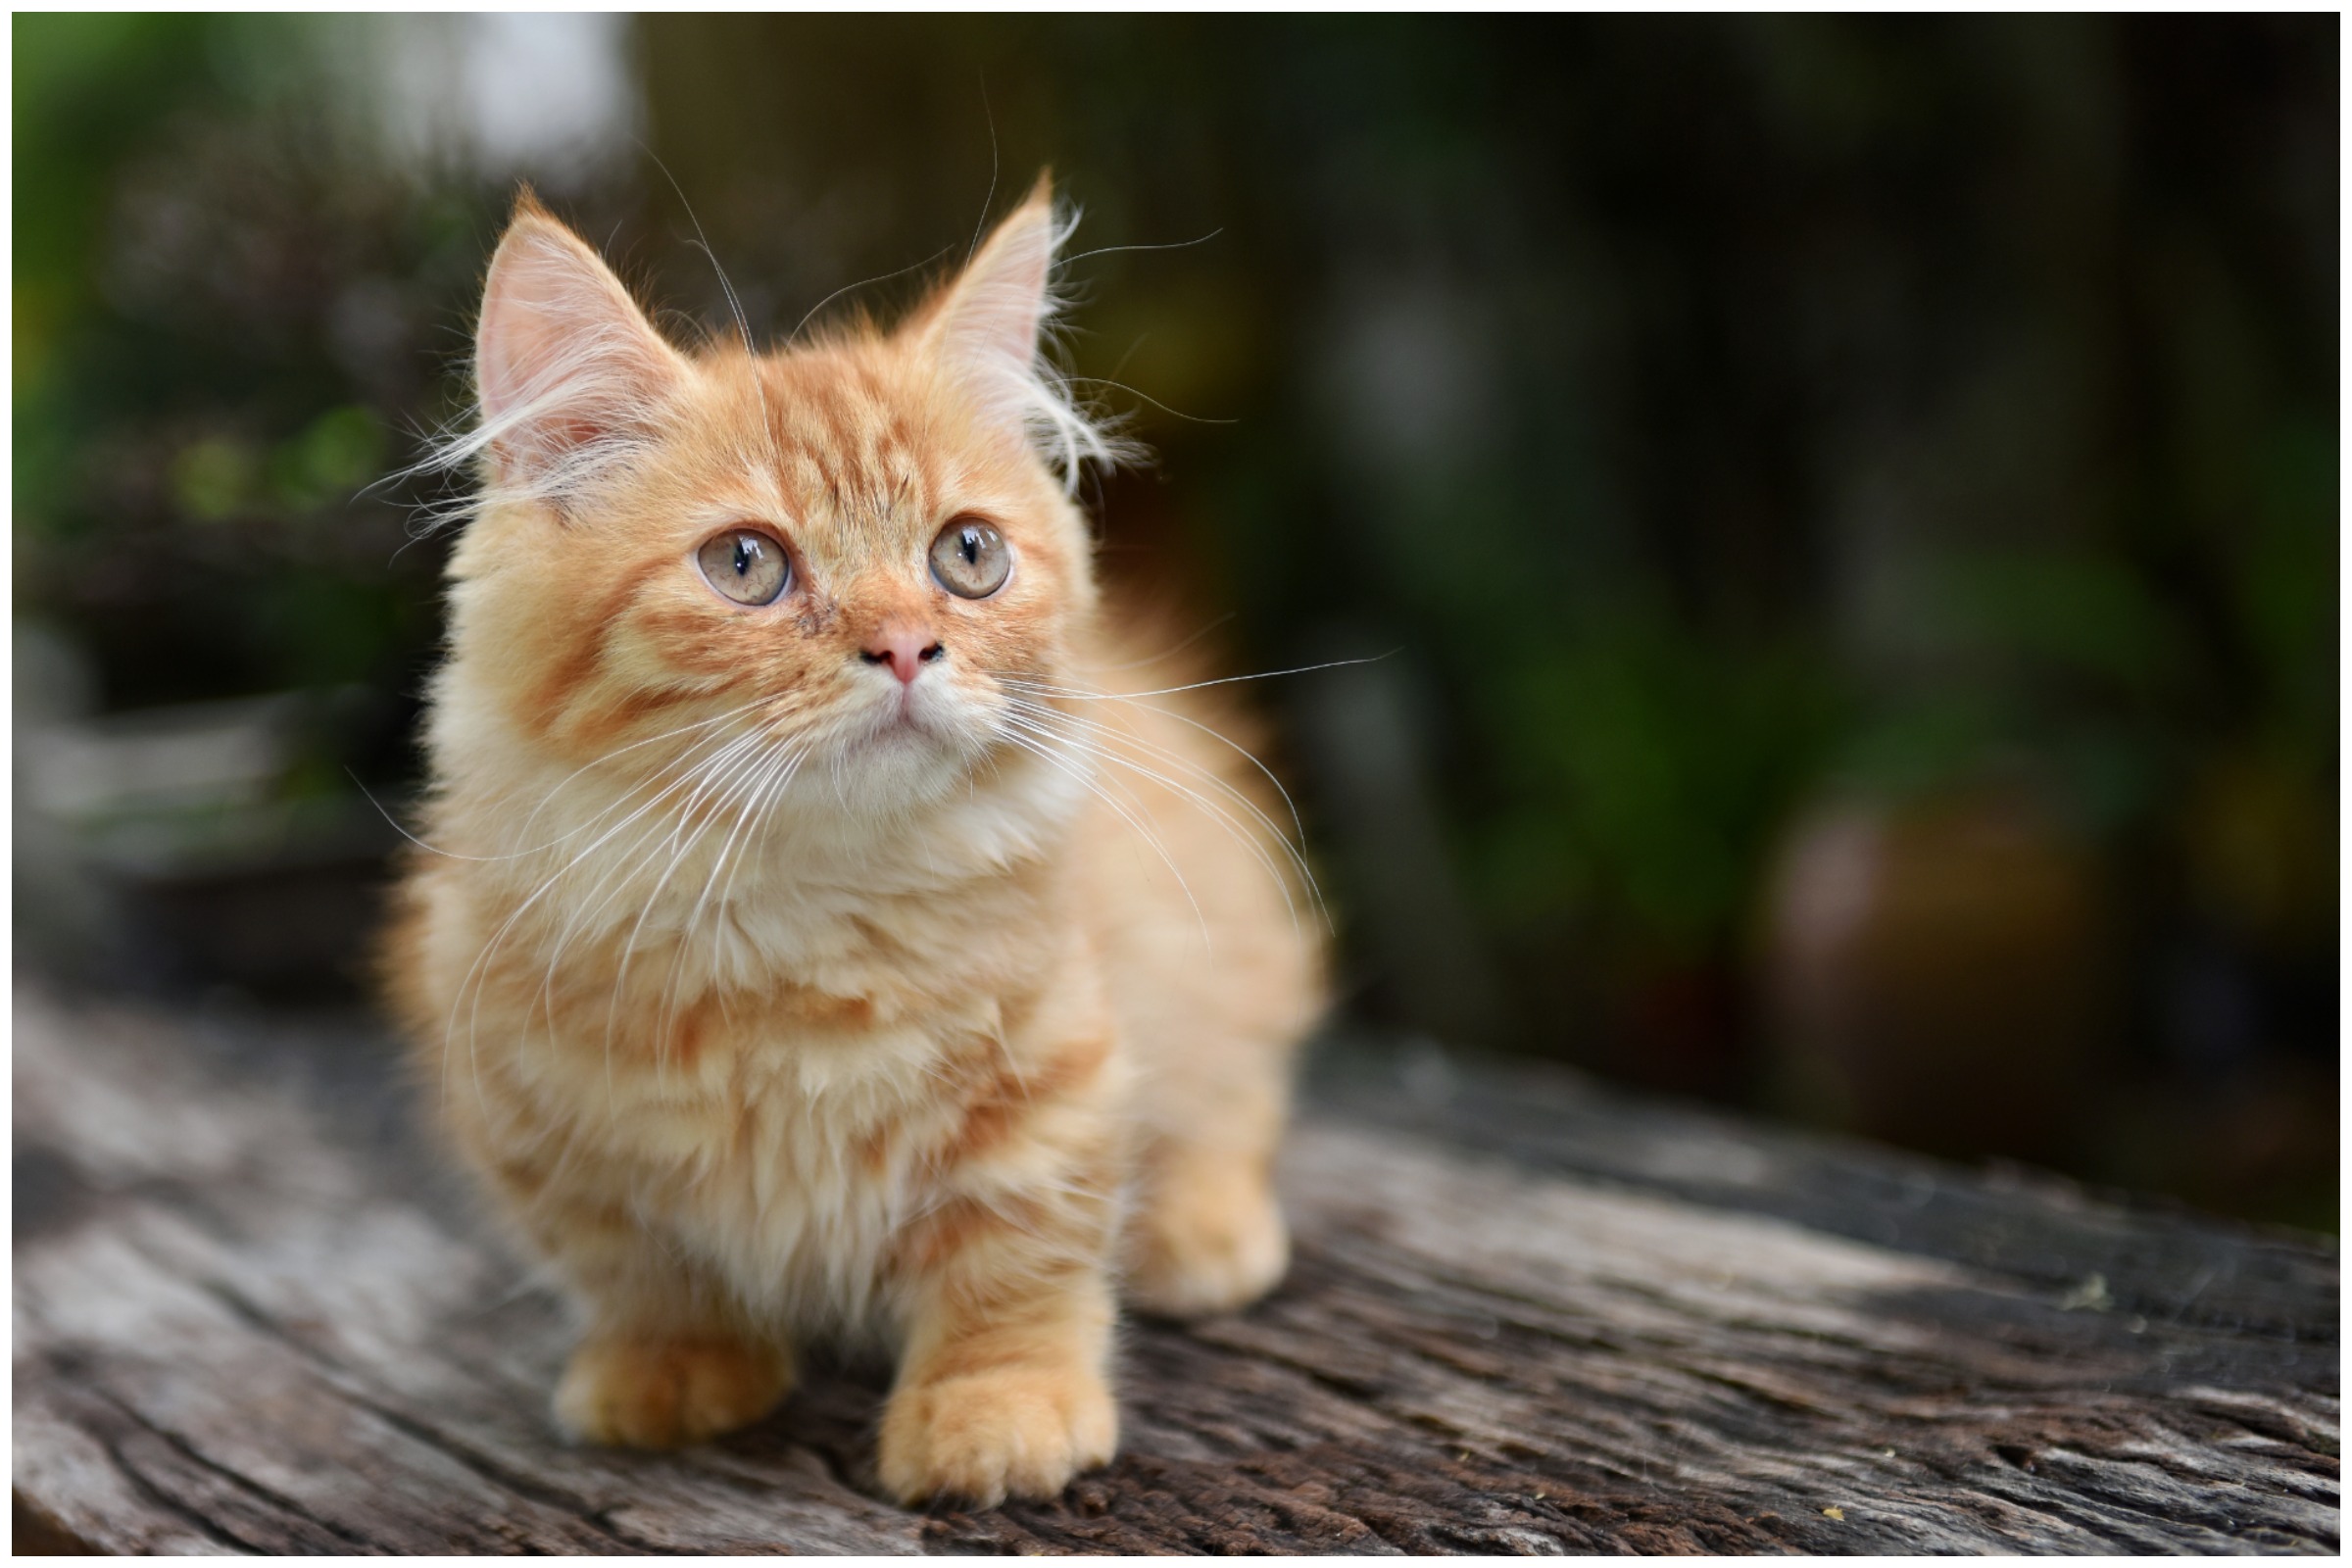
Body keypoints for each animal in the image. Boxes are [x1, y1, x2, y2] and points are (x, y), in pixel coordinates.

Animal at [385, 174, 1326, 1504]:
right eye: (746, 564)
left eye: (967, 555)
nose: (905, 646)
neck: (801, 916)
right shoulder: (532, 1111)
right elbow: (636, 1261)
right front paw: (674, 1369)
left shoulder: (1055, 1072)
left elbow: (1017, 1256)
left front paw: (997, 1409)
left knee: (1235, 1092)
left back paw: (1199, 1230)